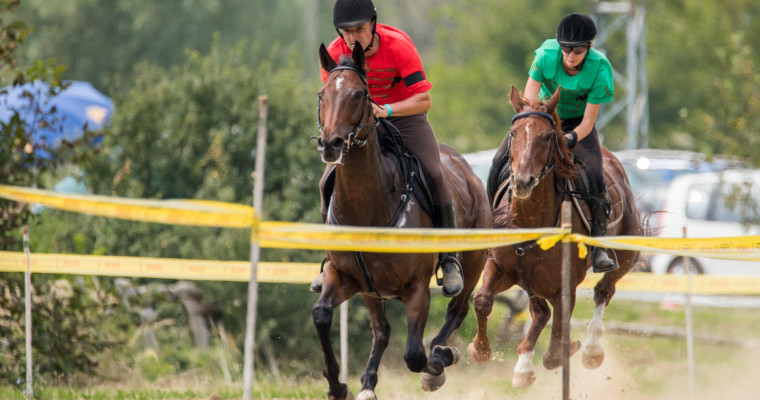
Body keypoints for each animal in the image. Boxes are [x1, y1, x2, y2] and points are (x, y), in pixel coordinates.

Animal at [312, 43, 490, 400]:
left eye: (359, 94)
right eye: (323, 94)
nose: (331, 144)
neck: (367, 210)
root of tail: (467, 169)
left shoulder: (417, 288)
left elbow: (414, 355)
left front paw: (438, 365)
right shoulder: (346, 277)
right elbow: (323, 315)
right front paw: (338, 385)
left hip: (474, 262)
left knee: (457, 310)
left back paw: (443, 355)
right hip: (371, 291)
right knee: (381, 330)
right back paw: (367, 383)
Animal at [470, 86, 640, 390]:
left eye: (548, 136)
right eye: (513, 133)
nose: (522, 181)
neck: (531, 222)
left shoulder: (565, 286)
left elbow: (555, 350)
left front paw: (570, 348)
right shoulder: (500, 268)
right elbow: (483, 300)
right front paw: (480, 350)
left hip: (625, 256)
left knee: (603, 291)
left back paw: (591, 350)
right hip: (531, 280)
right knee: (540, 312)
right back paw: (524, 365)